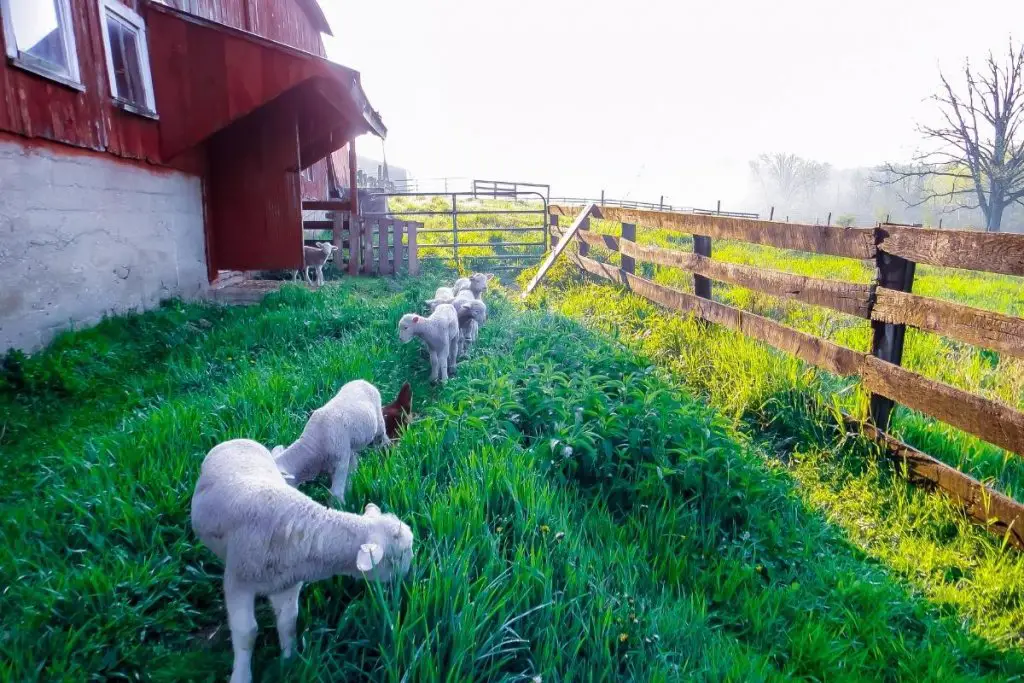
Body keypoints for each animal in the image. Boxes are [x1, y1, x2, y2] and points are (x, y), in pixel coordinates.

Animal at [190, 438, 413, 683]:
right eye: (400, 555)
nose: (406, 579)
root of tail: (236, 439)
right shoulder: (238, 583)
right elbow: (246, 633)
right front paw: (241, 676)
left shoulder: (286, 585)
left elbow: (288, 622)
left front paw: (289, 661)